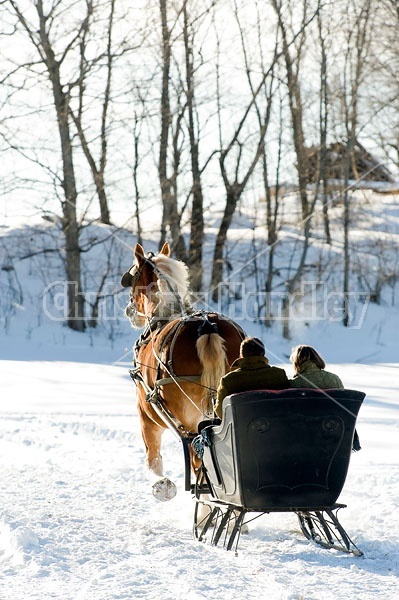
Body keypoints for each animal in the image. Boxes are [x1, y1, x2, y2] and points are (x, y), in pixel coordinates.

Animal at [121, 241, 247, 500]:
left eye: (133, 279)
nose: (129, 311)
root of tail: (207, 326)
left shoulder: (146, 414)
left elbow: (153, 458)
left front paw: (162, 485)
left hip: (189, 423)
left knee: (199, 462)